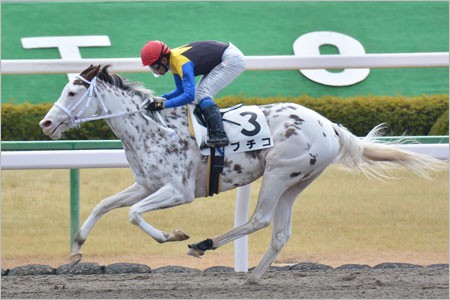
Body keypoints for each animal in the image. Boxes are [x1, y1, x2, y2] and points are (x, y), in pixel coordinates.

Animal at [39, 64, 446, 282]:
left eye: (73, 92)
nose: (46, 123)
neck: (150, 127)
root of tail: (330, 125)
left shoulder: (178, 191)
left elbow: (134, 215)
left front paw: (173, 235)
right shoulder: (146, 183)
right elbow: (104, 205)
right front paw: (75, 249)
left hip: (280, 172)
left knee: (260, 219)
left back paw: (204, 245)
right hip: (298, 181)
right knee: (280, 231)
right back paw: (253, 276)